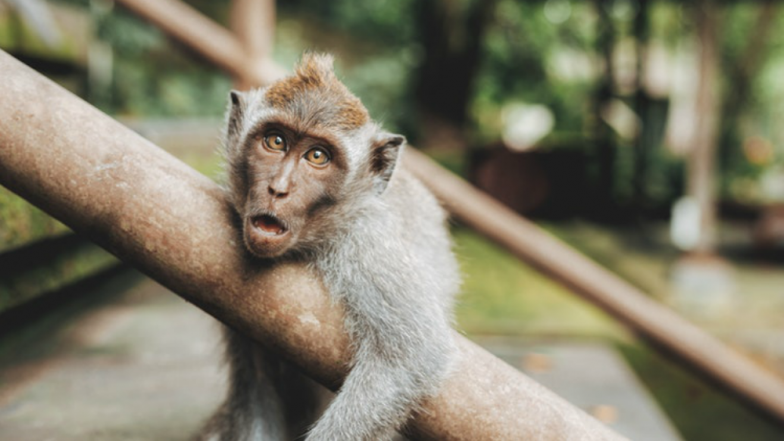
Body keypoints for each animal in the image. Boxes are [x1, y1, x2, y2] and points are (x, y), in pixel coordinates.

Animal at [199, 53, 460, 441]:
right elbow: (256, 384)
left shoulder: (367, 245)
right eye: (275, 141)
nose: (278, 189)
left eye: (318, 156)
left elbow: (411, 356)